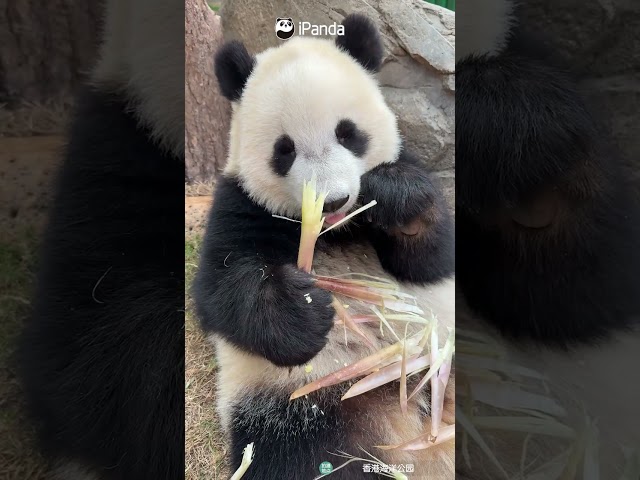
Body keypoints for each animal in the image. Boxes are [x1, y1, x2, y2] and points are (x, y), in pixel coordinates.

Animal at [193, 14, 455, 480]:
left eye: (348, 134)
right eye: (284, 150)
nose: (332, 201)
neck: (336, 231)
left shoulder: (409, 163)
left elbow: (432, 258)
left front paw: (397, 198)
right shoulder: (238, 203)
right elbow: (221, 286)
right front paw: (304, 310)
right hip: (301, 408)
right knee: (305, 457)